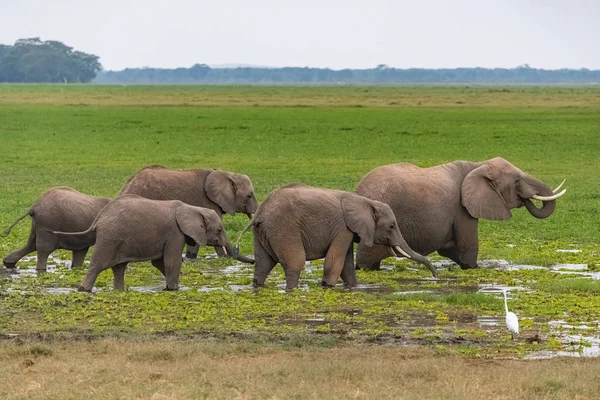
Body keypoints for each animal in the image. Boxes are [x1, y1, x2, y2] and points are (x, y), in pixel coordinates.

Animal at [52, 195, 230, 292]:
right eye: (219, 230)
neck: (192, 208)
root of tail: (100, 217)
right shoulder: (175, 233)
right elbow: (171, 261)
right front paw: (173, 289)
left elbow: (159, 262)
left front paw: (173, 287)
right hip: (109, 238)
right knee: (98, 264)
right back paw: (83, 290)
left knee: (118, 268)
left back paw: (119, 291)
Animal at [118, 164, 256, 260]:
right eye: (249, 196)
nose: (237, 248)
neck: (226, 174)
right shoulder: (207, 202)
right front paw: (224, 258)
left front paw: (190, 258)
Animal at [356, 158, 568, 270]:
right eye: (516, 181)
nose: (527, 199)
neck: (478, 165)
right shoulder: (462, 209)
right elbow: (467, 250)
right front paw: (474, 267)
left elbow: (450, 250)